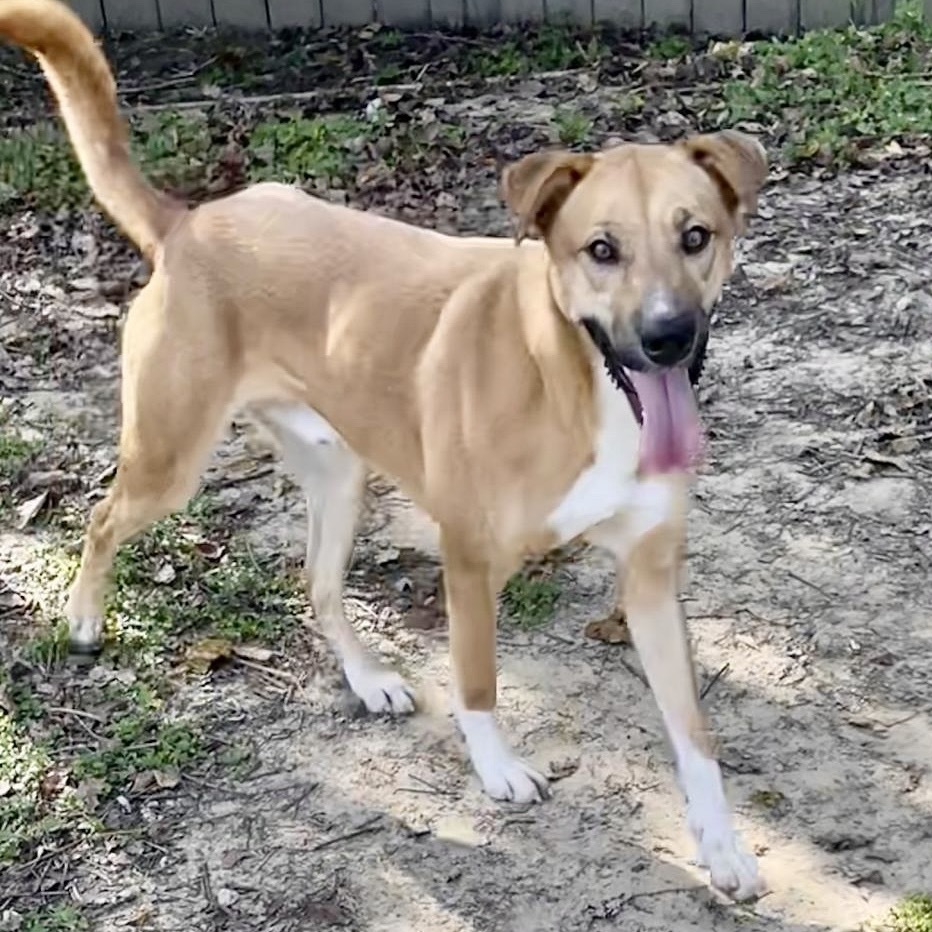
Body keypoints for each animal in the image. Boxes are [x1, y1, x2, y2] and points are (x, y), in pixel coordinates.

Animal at [3, 0, 768, 904]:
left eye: (696, 236)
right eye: (602, 249)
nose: (667, 337)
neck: (576, 385)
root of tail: (189, 222)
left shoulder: (650, 577)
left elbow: (694, 732)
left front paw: (721, 845)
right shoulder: (469, 562)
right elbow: (477, 681)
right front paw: (497, 770)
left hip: (340, 480)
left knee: (319, 587)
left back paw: (366, 680)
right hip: (169, 459)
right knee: (101, 518)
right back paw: (85, 619)